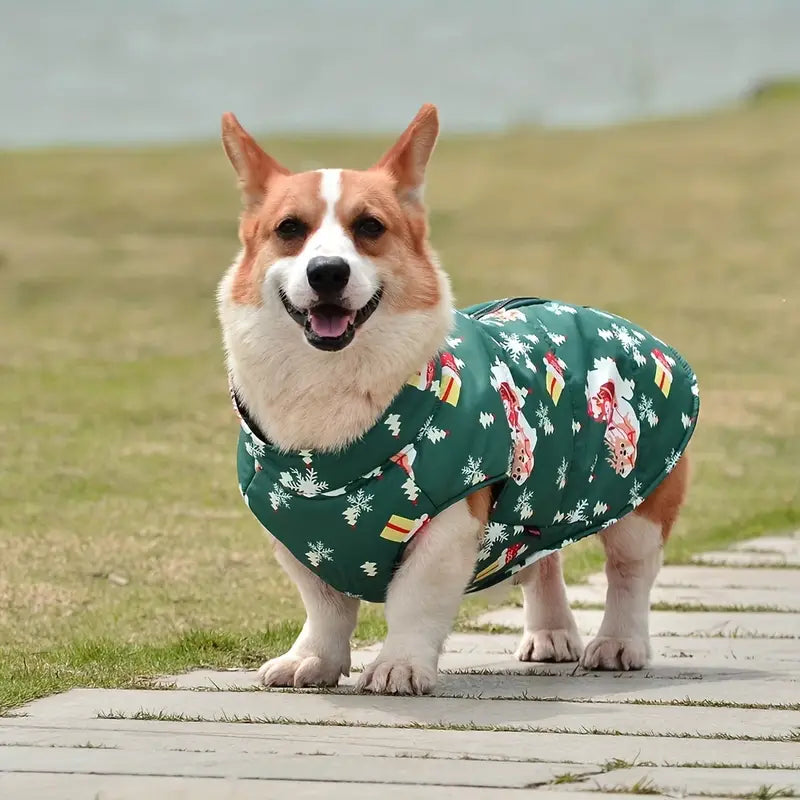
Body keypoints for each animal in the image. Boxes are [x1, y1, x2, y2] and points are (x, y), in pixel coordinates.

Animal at [219, 104, 692, 692]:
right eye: (289, 229)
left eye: (370, 227)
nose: (327, 272)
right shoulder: (296, 533)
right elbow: (325, 607)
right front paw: (312, 661)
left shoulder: (447, 523)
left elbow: (414, 602)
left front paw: (398, 666)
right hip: (538, 497)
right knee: (542, 557)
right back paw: (551, 634)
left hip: (641, 500)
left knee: (629, 573)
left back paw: (618, 644)